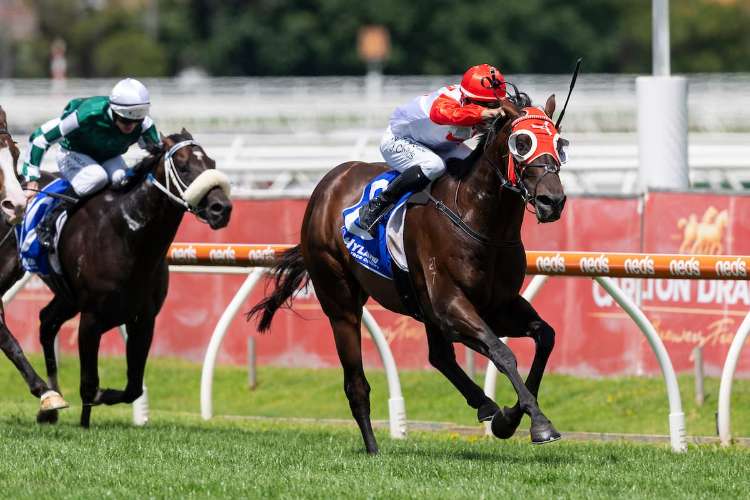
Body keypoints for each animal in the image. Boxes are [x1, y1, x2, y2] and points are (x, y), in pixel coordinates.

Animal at [0, 129, 232, 427]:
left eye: (212, 163)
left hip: (67, 296)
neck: (129, 235)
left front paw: (102, 398)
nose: (221, 208)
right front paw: (85, 422)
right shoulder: (91, 318)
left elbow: (133, 387)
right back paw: (47, 396)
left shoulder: (143, 319)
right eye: (183, 166)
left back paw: (49, 404)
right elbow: (89, 383)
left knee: (47, 322)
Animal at [248, 95, 567, 454]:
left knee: (439, 356)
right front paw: (537, 423)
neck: (478, 218)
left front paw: (509, 417)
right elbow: (502, 353)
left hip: (422, 308)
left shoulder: (498, 306)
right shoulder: (451, 305)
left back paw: (484, 404)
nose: (552, 201)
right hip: (340, 302)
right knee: (356, 383)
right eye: (522, 142)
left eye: (560, 142)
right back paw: (373, 448)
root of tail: (328, 183)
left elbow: (545, 337)